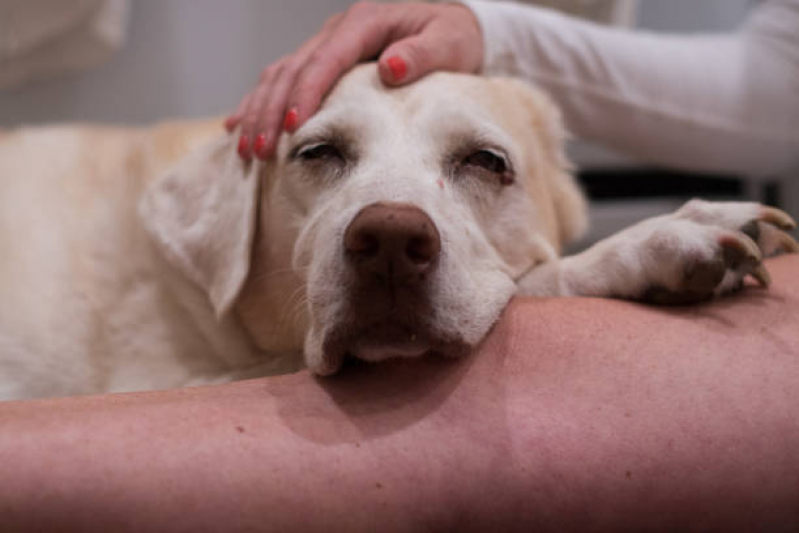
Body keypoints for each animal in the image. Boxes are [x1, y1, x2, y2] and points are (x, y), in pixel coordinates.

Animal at [0, 65, 796, 400]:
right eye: (317, 153)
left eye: (485, 161)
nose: (386, 243)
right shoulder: (156, 380)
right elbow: (538, 279)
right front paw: (658, 238)